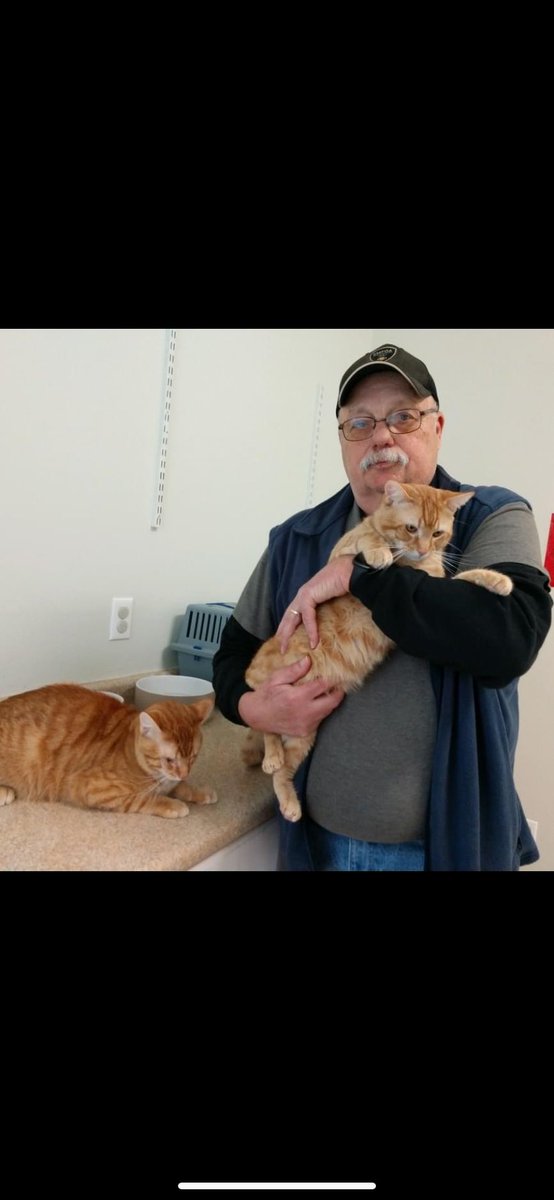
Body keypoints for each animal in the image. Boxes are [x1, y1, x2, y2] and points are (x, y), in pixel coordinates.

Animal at [0, 686, 215, 816]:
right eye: (169, 760)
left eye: (193, 757)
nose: (183, 773)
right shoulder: (92, 788)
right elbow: (144, 798)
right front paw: (172, 804)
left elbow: (181, 787)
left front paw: (201, 792)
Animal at [244, 482, 513, 820]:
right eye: (411, 528)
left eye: (437, 534)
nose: (423, 549)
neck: (411, 563)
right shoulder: (339, 553)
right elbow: (368, 537)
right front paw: (379, 551)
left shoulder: (437, 581)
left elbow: (466, 577)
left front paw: (498, 580)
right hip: (272, 691)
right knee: (263, 719)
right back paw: (271, 757)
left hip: (302, 734)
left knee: (282, 769)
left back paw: (290, 803)